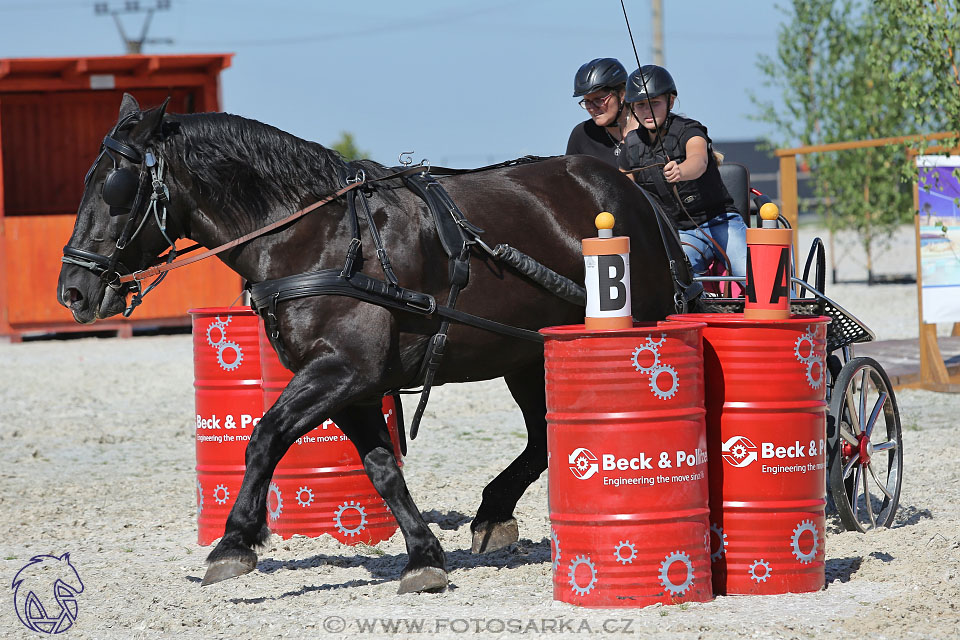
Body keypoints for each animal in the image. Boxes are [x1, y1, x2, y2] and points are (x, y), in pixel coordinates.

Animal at [58, 95, 688, 596]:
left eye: (116, 186)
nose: (74, 289)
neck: (318, 236)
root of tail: (631, 192)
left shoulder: (342, 371)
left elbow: (264, 437)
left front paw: (234, 543)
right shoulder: (352, 387)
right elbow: (382, 468)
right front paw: (424, 557)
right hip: (527, 356)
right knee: (541, 439)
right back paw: (492, 512)